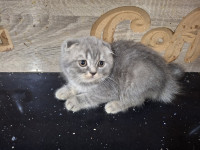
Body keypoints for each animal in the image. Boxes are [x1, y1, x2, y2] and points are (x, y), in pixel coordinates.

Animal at [54, 36, 183, 113]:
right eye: (82, 63)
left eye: (101, 63)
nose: (93, 73)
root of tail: (167, 78)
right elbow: (74, 86)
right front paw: (64, 91)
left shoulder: (108, 91)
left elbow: (89, 96)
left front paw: (74, 101)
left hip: (136, 82)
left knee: (136, 100)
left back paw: (114, 105)